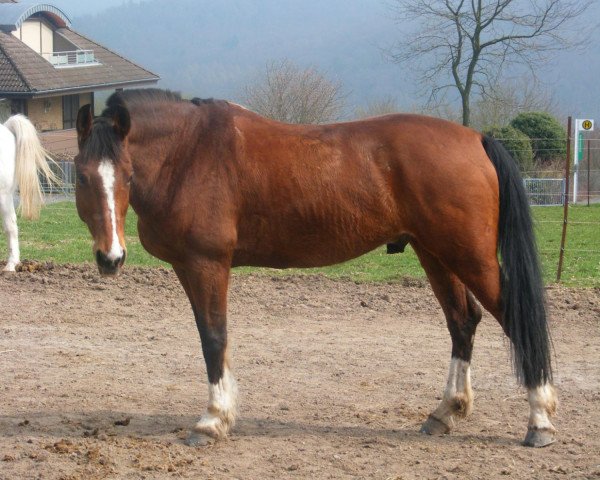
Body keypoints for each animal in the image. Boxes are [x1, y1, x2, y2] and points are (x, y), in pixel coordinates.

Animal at [75, 89, 556, 446]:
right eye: (82, 175)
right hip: (435, 254)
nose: (110, 258)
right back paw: (444, 413)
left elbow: (213, 338)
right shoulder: (189, 267)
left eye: (127, 174)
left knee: (513, 318)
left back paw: (540, 422)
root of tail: (476, 138)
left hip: (468, 257)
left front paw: (212, 420)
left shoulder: (206, 264)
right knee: (463, 321)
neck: (190, 152)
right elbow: (212, 337)